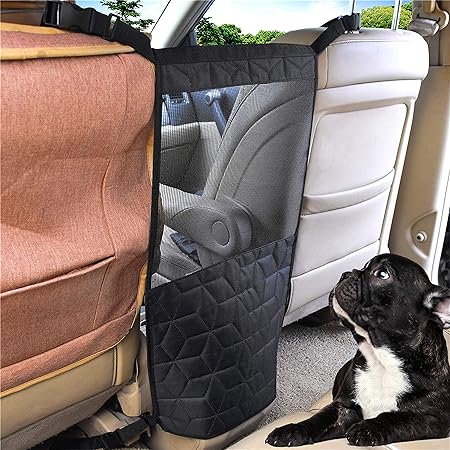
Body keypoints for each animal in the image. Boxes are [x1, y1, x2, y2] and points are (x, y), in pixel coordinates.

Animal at [266, 254, 450, 447]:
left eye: (382, 274)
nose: (345, 274)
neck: (381, 360)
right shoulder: (343, 408)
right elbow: (319, 419)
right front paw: (291, 430)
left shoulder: (432, 418)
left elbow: (396, 418)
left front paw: (367, 428)